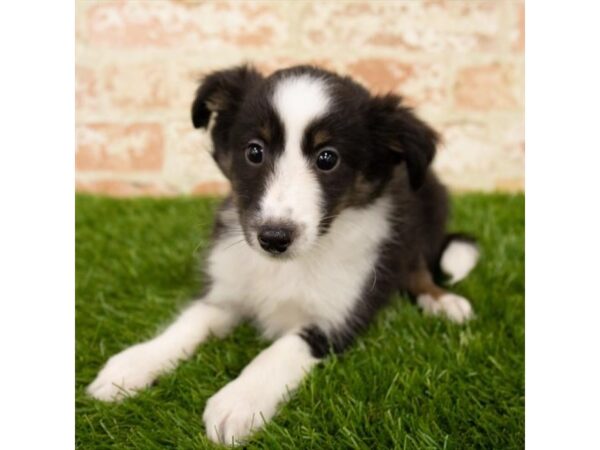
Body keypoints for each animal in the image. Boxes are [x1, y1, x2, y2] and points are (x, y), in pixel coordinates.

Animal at [88, 64, 478, 446]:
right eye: (254, 151)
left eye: (327, 158)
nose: (274, 238)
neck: (285, 266)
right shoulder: (228, 290)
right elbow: (188, 323)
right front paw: (133, 365)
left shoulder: (337, 317)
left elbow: (279, 351)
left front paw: (238, 402)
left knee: (418, 267)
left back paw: (443, 301)